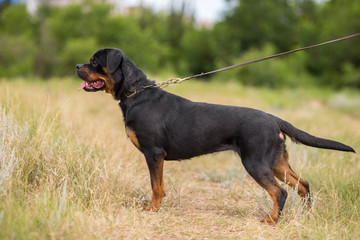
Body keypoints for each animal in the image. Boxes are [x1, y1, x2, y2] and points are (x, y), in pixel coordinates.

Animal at [75, 48, 354, 225]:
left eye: (94, 61)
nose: (77, 66)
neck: (135, 92)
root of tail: (275, 119)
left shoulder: (154, 154)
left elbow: (156, 187)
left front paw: (152, 210)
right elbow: (159, 186)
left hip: (256, 162)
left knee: (280, 192)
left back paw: (271, 220)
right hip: (277, 162)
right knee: (303, 185)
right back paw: (306, 216)